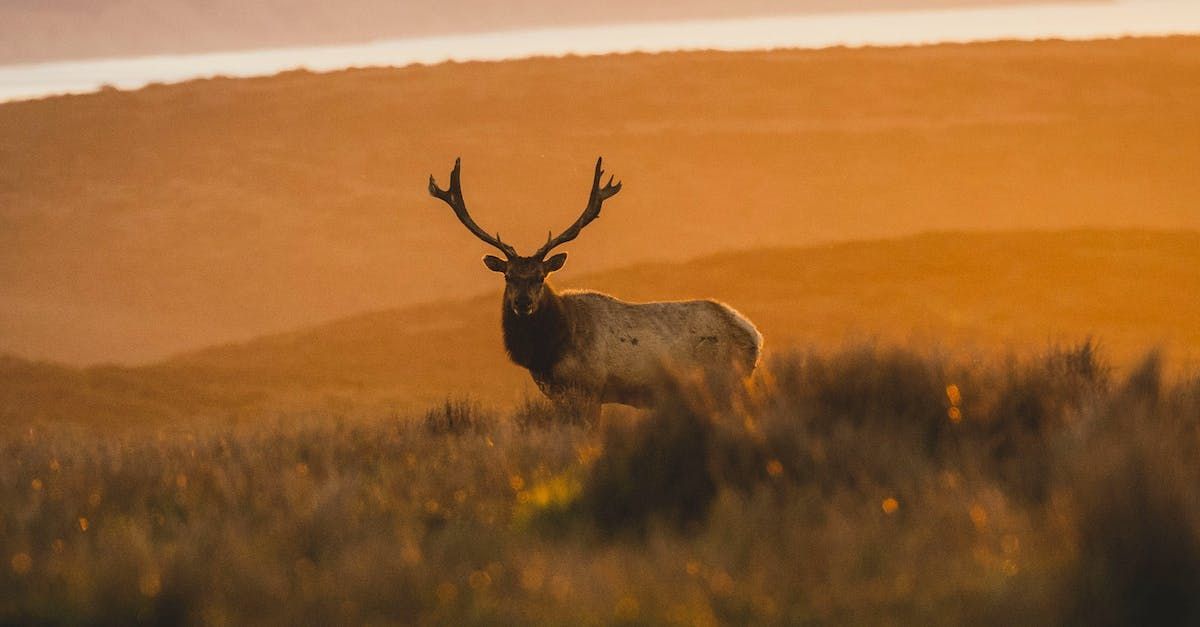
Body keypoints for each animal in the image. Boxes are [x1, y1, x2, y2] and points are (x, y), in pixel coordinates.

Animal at [428, 157, 762, 419]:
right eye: (508, 276)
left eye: (540, 276)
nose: (523, 303)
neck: (549, 350)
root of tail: (755, 336)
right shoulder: (559, 394)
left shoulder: (588, 388)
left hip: (726, 381)